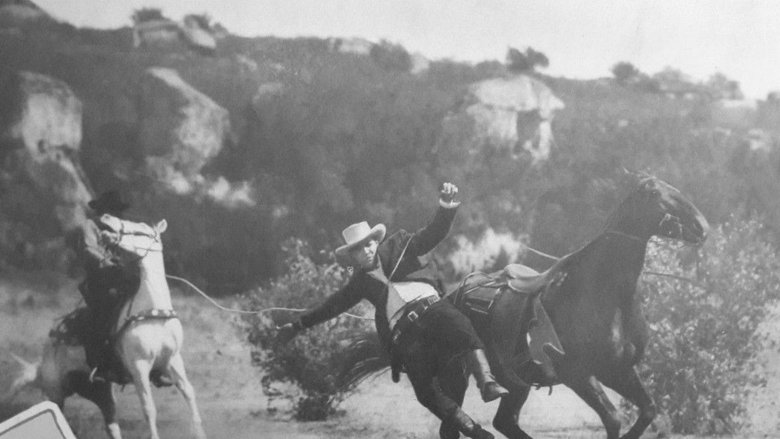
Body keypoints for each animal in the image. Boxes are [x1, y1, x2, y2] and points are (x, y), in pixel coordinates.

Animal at [5, 217, 204, 439]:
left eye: (140, 230)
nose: (108, 218)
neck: (154, 312)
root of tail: (48, 349)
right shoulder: (139, 366)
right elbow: (149, 408)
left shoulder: (173, 360)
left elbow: (189, 394)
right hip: (55, 391)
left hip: (99, 391)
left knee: (111, 423)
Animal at [438, 175, 712, 439]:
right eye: (655, 193)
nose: (701, 227)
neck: (605, 296)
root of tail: (454, 294)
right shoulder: (578, 376)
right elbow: (614, 419)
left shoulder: (618, 371)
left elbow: (648, 410)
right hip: (459, 376)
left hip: (516, 383)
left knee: (504, 422)